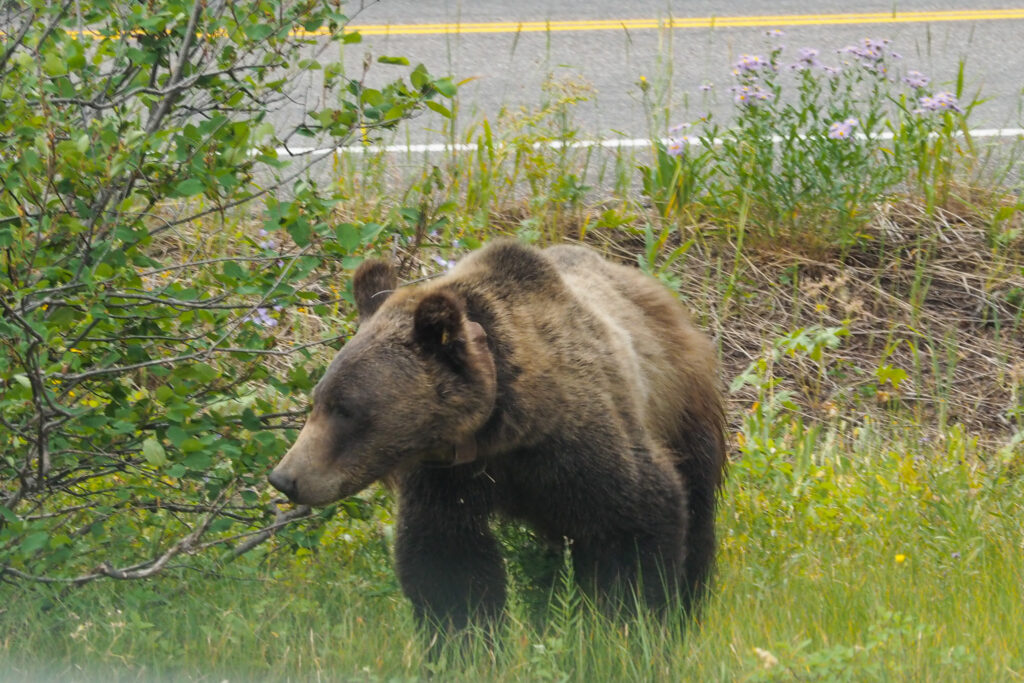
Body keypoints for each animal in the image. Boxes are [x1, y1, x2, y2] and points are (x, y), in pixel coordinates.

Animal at [268, 239, 726, 635]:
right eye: (317, 400)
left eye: (347, 409)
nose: (285, 477)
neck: (502, 427)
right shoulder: (450, 475)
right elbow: (449, 561)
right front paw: (463, 640)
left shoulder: (580, 442)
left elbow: (638, 518)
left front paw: (633, 626)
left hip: (683, 406)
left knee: (697, 503)